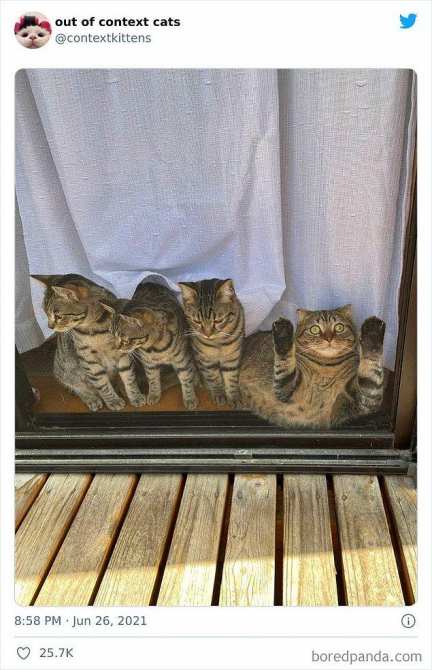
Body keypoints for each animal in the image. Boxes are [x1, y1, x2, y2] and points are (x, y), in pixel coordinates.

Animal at [32, 274, 146, 411]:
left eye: (58, 316)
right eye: (46, 313)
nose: (50, 327)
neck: (94, 328)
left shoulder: (123, 351)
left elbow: (129, 377)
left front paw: (135, 396)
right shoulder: (87, 357)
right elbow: (101, 383)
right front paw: (113, 400)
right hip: (67, 370)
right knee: (77, 387)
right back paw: (91, 398)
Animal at [102, 281, 199, 410]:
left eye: (125, 340)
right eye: (112, 334)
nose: (116, 348)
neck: (154, 348)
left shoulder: (182, 359)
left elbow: (186, 378)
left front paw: (190, 398)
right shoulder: (148, 363)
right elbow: (152, 379)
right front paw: (153, 394)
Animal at [179, 278, 245, 407]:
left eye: (218, 320)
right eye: (197, 321)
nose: (207, 334)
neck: (218, 342)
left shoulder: (232, 357)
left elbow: (231, 377)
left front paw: (234, 396)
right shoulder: (206, 360)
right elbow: (213, 377)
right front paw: (219, 393)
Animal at [239, 305, 388, 429]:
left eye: (339, 327)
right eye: (315, 329)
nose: (329, 338)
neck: (327, 367)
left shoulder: (368, 399)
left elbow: (370, 365)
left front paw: (372, 332)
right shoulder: (285, 389)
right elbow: (285, 362)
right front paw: (283, 333)